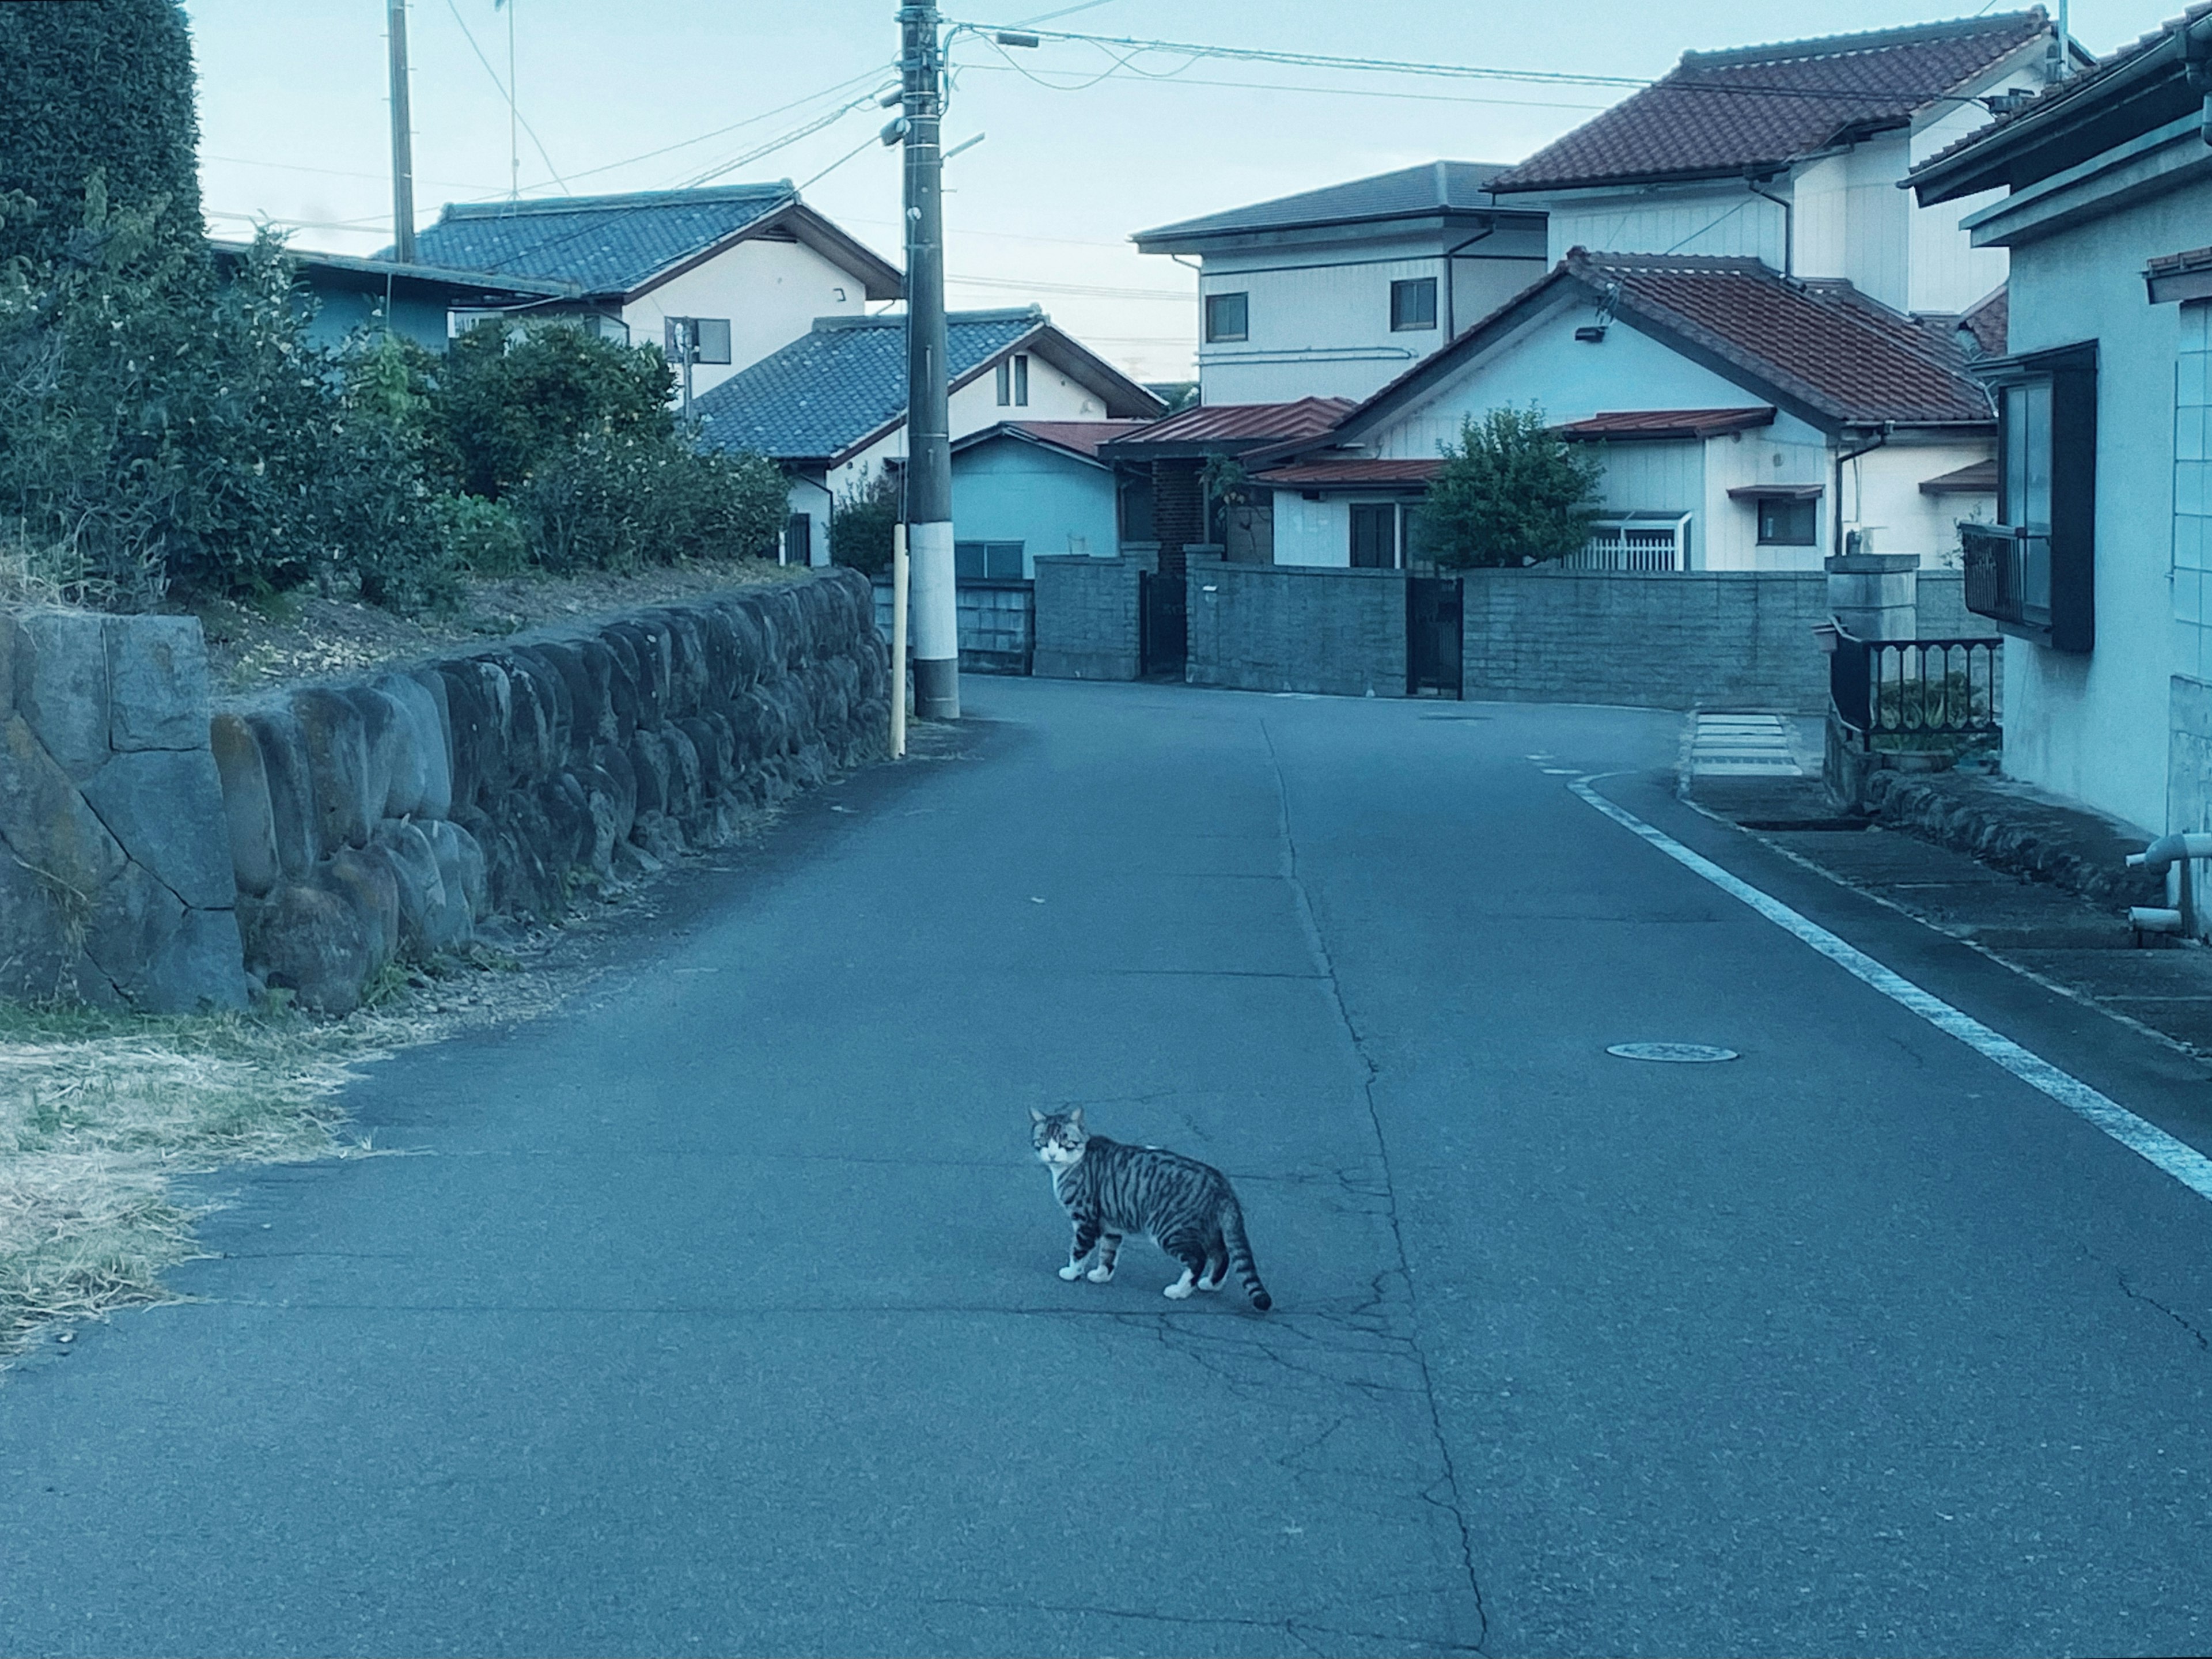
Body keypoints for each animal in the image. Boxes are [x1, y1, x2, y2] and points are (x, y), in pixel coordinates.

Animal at [1026, 1119, 1274, 1309]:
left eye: (1064, 1143)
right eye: (1044, 1142)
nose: (1052, 1154)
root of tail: (1222, 1184)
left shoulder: (1086, 1220)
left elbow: (1079, 1251)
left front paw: (1071, 1273)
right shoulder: (1111, 1224)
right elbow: (1108, 1254)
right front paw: (1102, 1275)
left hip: (1170, 1230)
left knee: (1198, 1259)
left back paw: (1179, 1291)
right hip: (1207, 1230)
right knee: (1223, 1254)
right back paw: (1212, 1284)